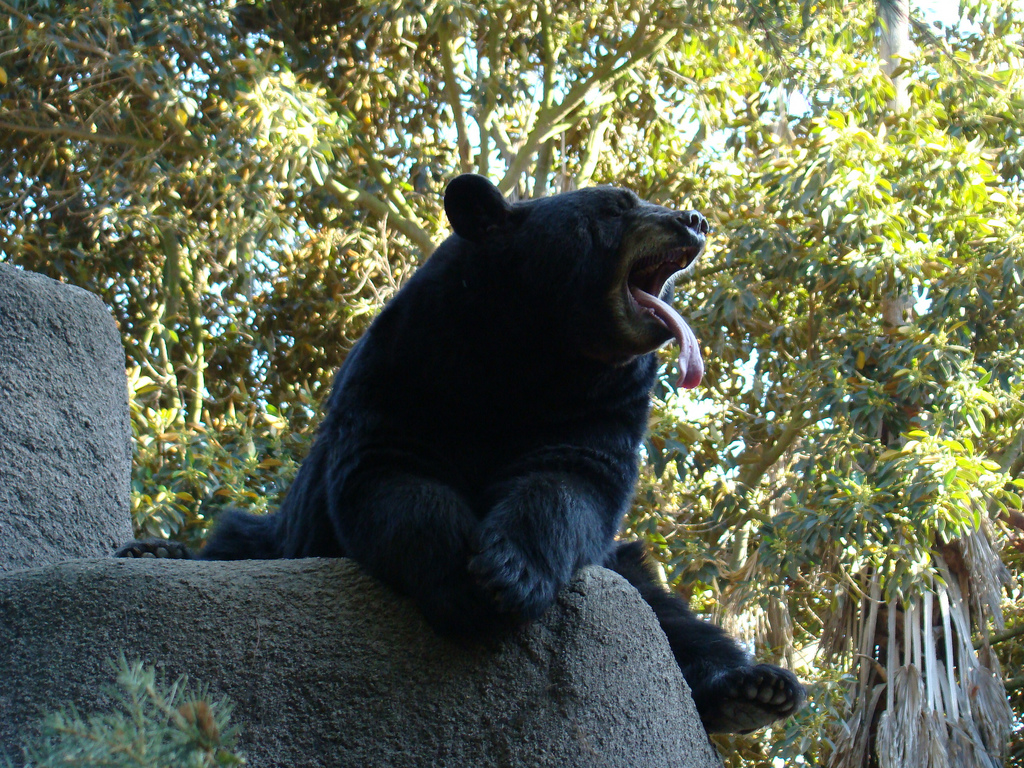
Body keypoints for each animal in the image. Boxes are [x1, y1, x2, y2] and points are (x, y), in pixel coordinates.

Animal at [119, 174, 805, 734]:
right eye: (616, 207)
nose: (695, 219)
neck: (537, 352)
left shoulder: (607, 405)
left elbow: (568, 482)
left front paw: (510, 573)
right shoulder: (407, 362)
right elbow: (392, 472)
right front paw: (461, 582)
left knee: (672, 618)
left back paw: (755, 689)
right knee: (237, 538)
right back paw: (155, 551)